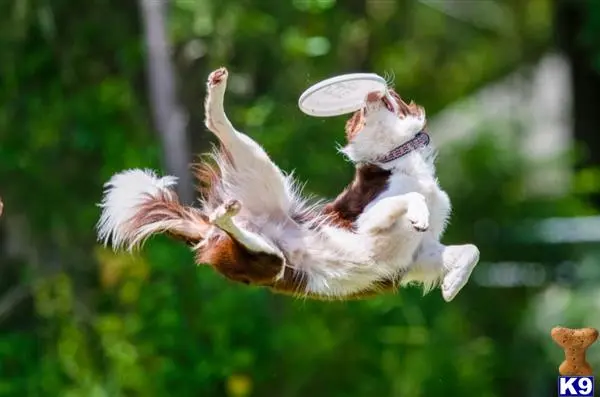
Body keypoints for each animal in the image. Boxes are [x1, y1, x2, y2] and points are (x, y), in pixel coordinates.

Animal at [101, 67, 480, 300]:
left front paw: (453, 284)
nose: (369, 94)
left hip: (266, 234)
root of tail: (207, 231)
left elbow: (470, 251)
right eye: (358, 114)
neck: (396, 158)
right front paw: (418, 214)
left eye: (392, 97)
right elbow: (411, 199)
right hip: (265, 216)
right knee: (216, 129)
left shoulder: (417, 258)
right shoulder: (368, 221)